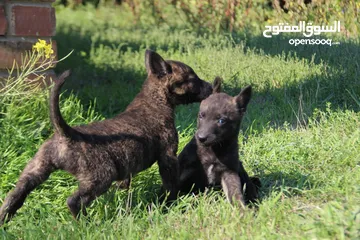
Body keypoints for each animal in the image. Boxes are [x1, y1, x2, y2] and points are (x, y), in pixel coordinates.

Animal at [0, 49, 214, 224]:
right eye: (192, 79)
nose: (211, 86)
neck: (155, 100)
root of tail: (66, 134)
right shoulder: (168, 156)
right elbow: (170, 184)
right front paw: (171, 203)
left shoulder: (126, 170)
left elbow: (124, 186)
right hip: (101, 176)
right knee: (74, 201)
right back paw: (86, 224)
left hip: (35, 170)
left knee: (14, 195)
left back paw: (4, 220)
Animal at [179, 79, 260, 208]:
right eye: (201, 115)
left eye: (221, 121)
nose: (201, 138)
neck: (213, 149)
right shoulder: (186, 168)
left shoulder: (229, 172)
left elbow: (235, 193)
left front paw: (242, 210)